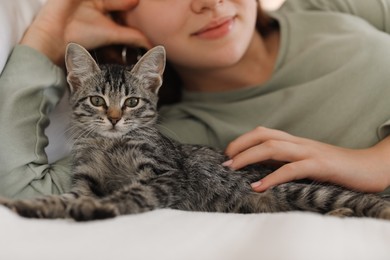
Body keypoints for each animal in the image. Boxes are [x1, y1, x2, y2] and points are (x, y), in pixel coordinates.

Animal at [0, 43, 390, 221]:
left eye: (131, 102)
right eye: (97, 100)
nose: (113, 118)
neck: (109, 145)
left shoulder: (164, 174)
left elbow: (131, 194)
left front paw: (100, 208)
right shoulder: (85, 180)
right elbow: (63, 198)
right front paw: (28, 205)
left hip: (302, 190)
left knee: (365, 201)